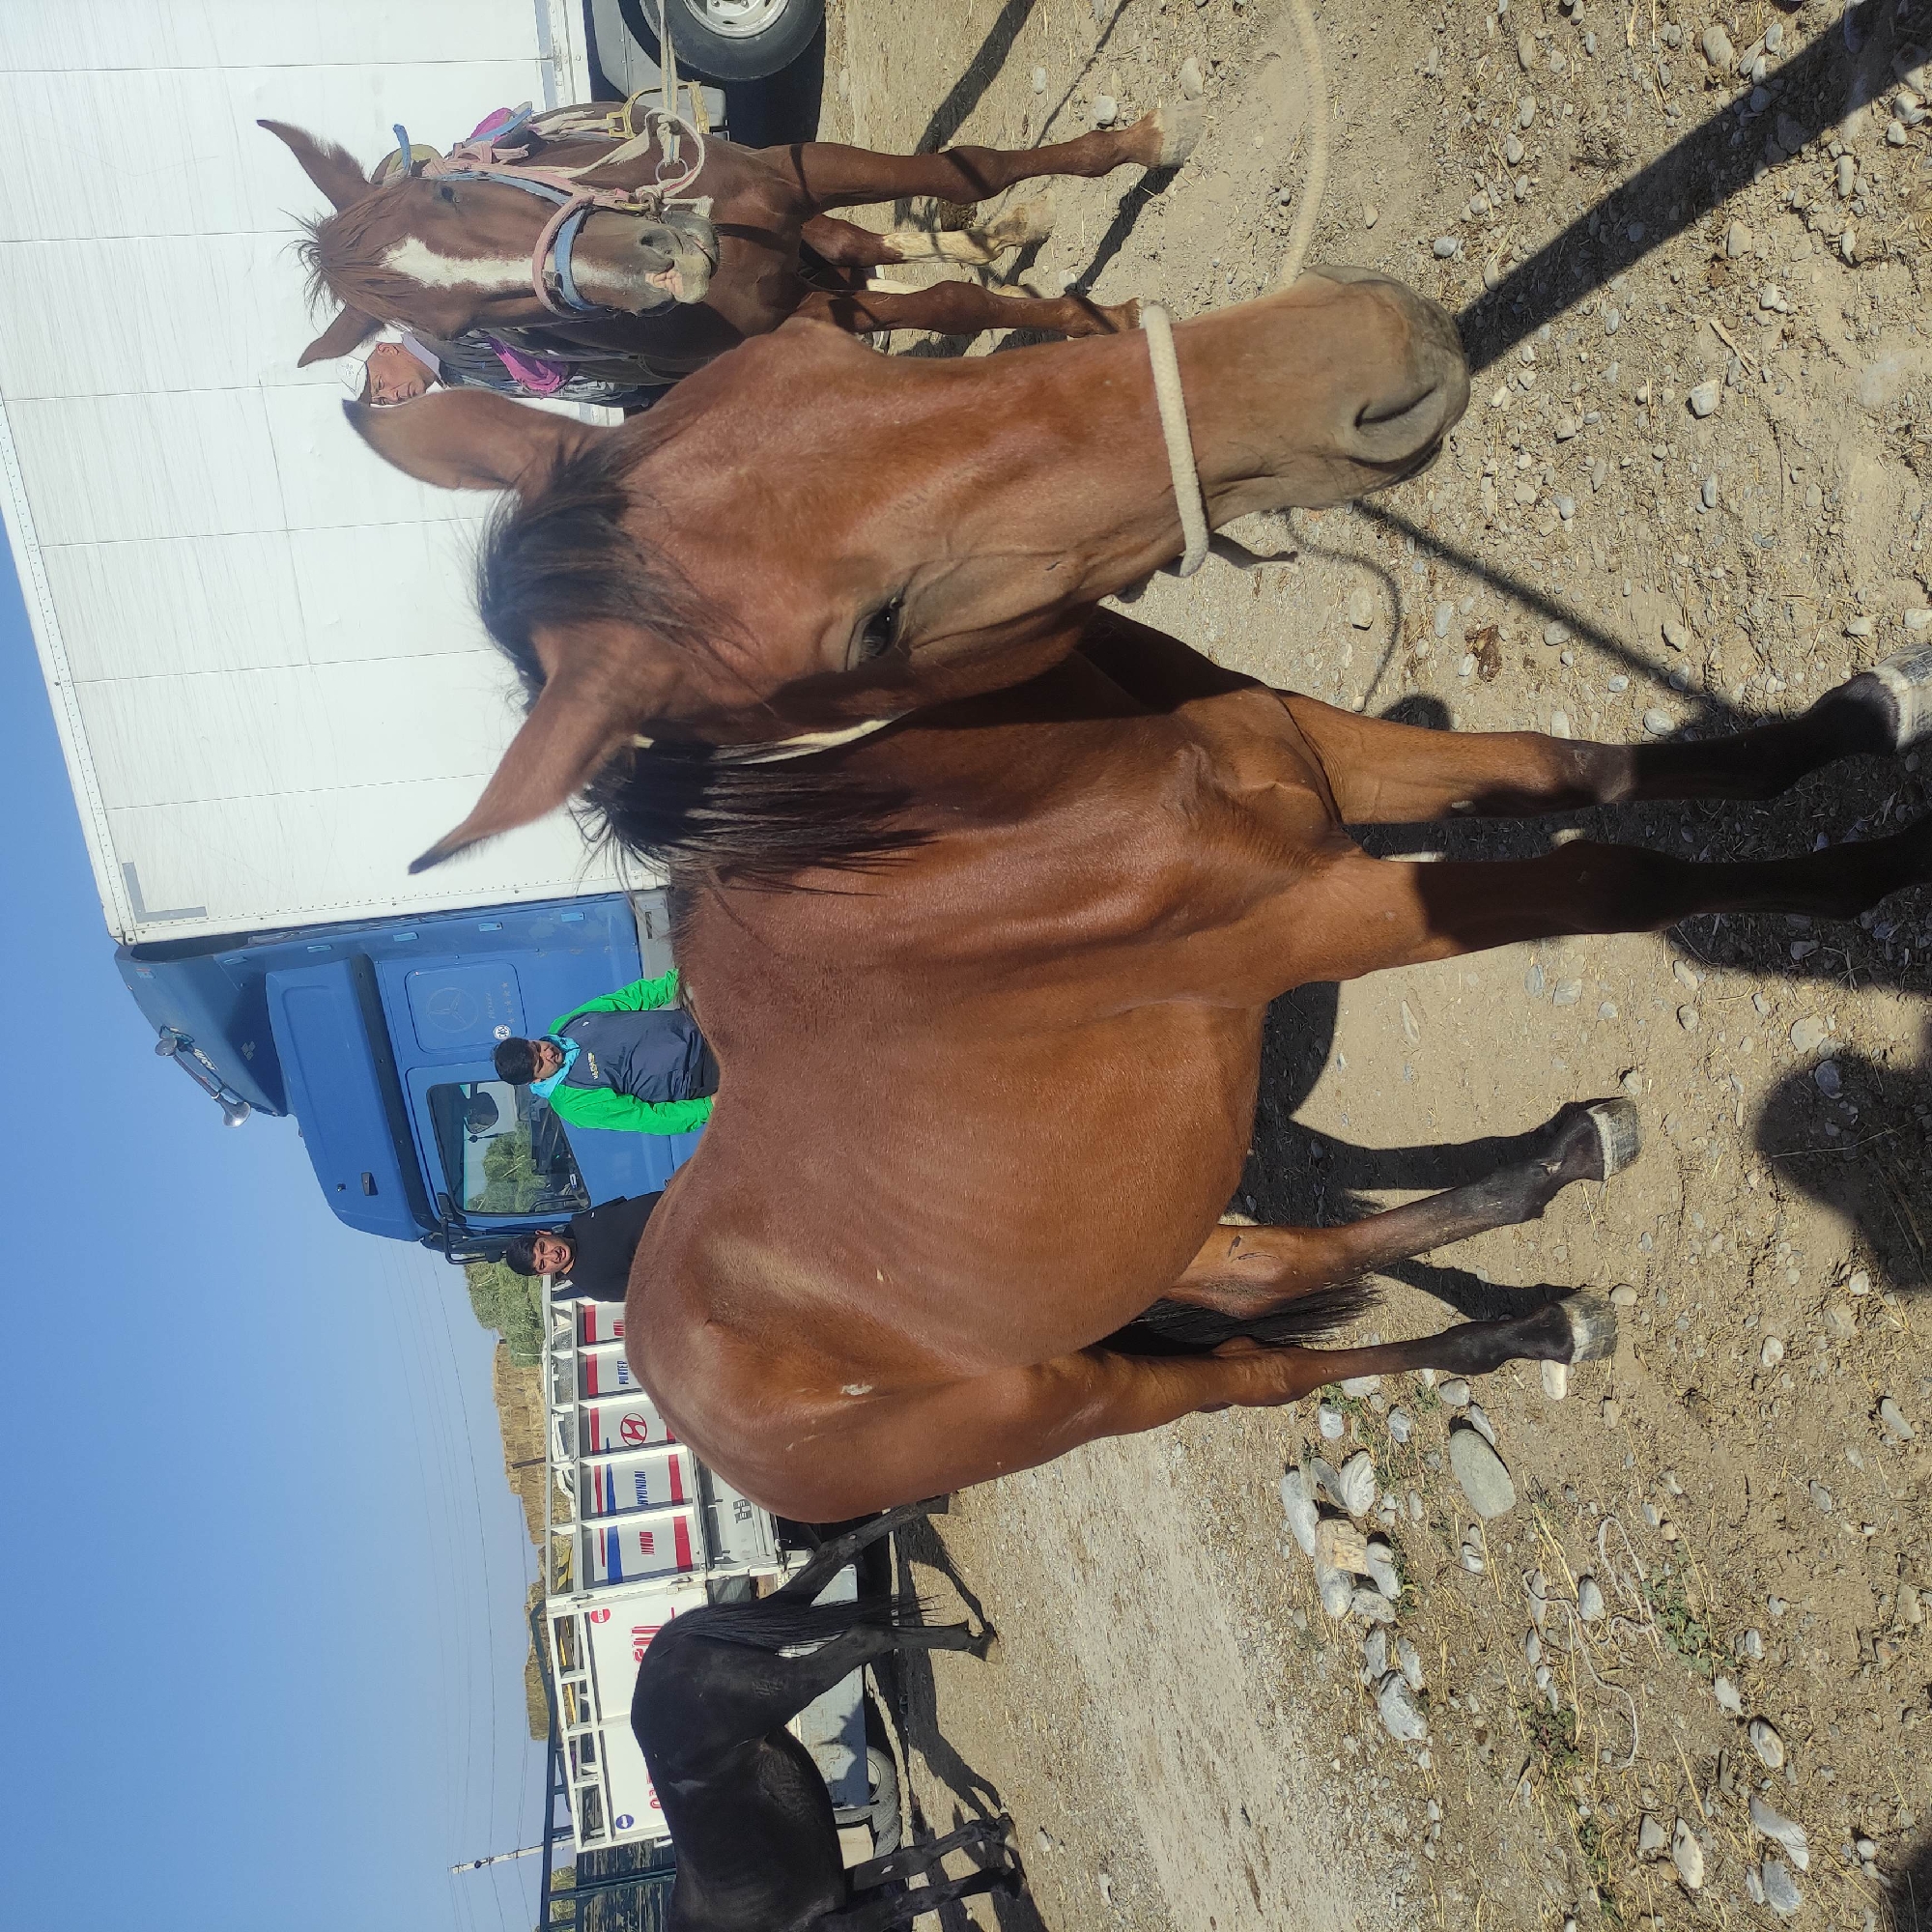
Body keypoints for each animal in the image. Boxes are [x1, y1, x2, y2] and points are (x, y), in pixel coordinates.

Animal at [262, 100, 1203, 377]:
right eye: (463, 330)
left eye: (448, 190)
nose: (671, 263)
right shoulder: (806, 316)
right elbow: (948, 303)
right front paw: (1103, 323)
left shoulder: (799, 175)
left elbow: (961, 170)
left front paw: (1144, 145)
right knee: (884, 265)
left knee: (884, 248)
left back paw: (1012, 228)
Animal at [348, 277, 1932, 1519]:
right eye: (875, 623)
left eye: (837, 341)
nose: (1367, 345)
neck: (965, 827)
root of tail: (681, 1382)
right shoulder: (1320, 915)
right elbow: (1617, 870)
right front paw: (1867, 873)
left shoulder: (1331, 757)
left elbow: (1577, 766)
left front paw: (1852, 728)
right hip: (1079, 1394)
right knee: (1258, 1371)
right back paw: (1526, 1324)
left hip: (1163, 1249)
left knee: (1279, 1265)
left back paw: (1555, 1189)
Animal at [630, 1502, 1018, 1932]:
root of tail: (661, 1651)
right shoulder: (846, 1889)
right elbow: (912, 1862)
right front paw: (993, 1835)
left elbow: (917, 1897)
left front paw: (1002, 1878)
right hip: (785, 1617)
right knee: (838, 1549)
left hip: (788, 1685)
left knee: (865, 1634)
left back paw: (974, 1639)